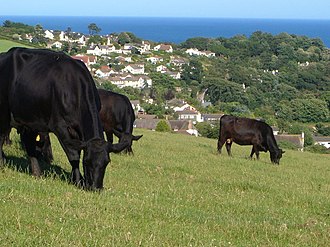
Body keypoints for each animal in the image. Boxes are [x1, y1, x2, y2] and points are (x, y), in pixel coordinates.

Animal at [0, 47, 128, 189]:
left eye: (106, 162)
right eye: (87, 162)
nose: (96, 187)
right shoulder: (59, 126)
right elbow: (73, 155)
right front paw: (78, 180)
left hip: (30, 119)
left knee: (29, 144)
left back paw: (37, 173)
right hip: (4, 113)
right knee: (1, 137)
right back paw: (2, 163)